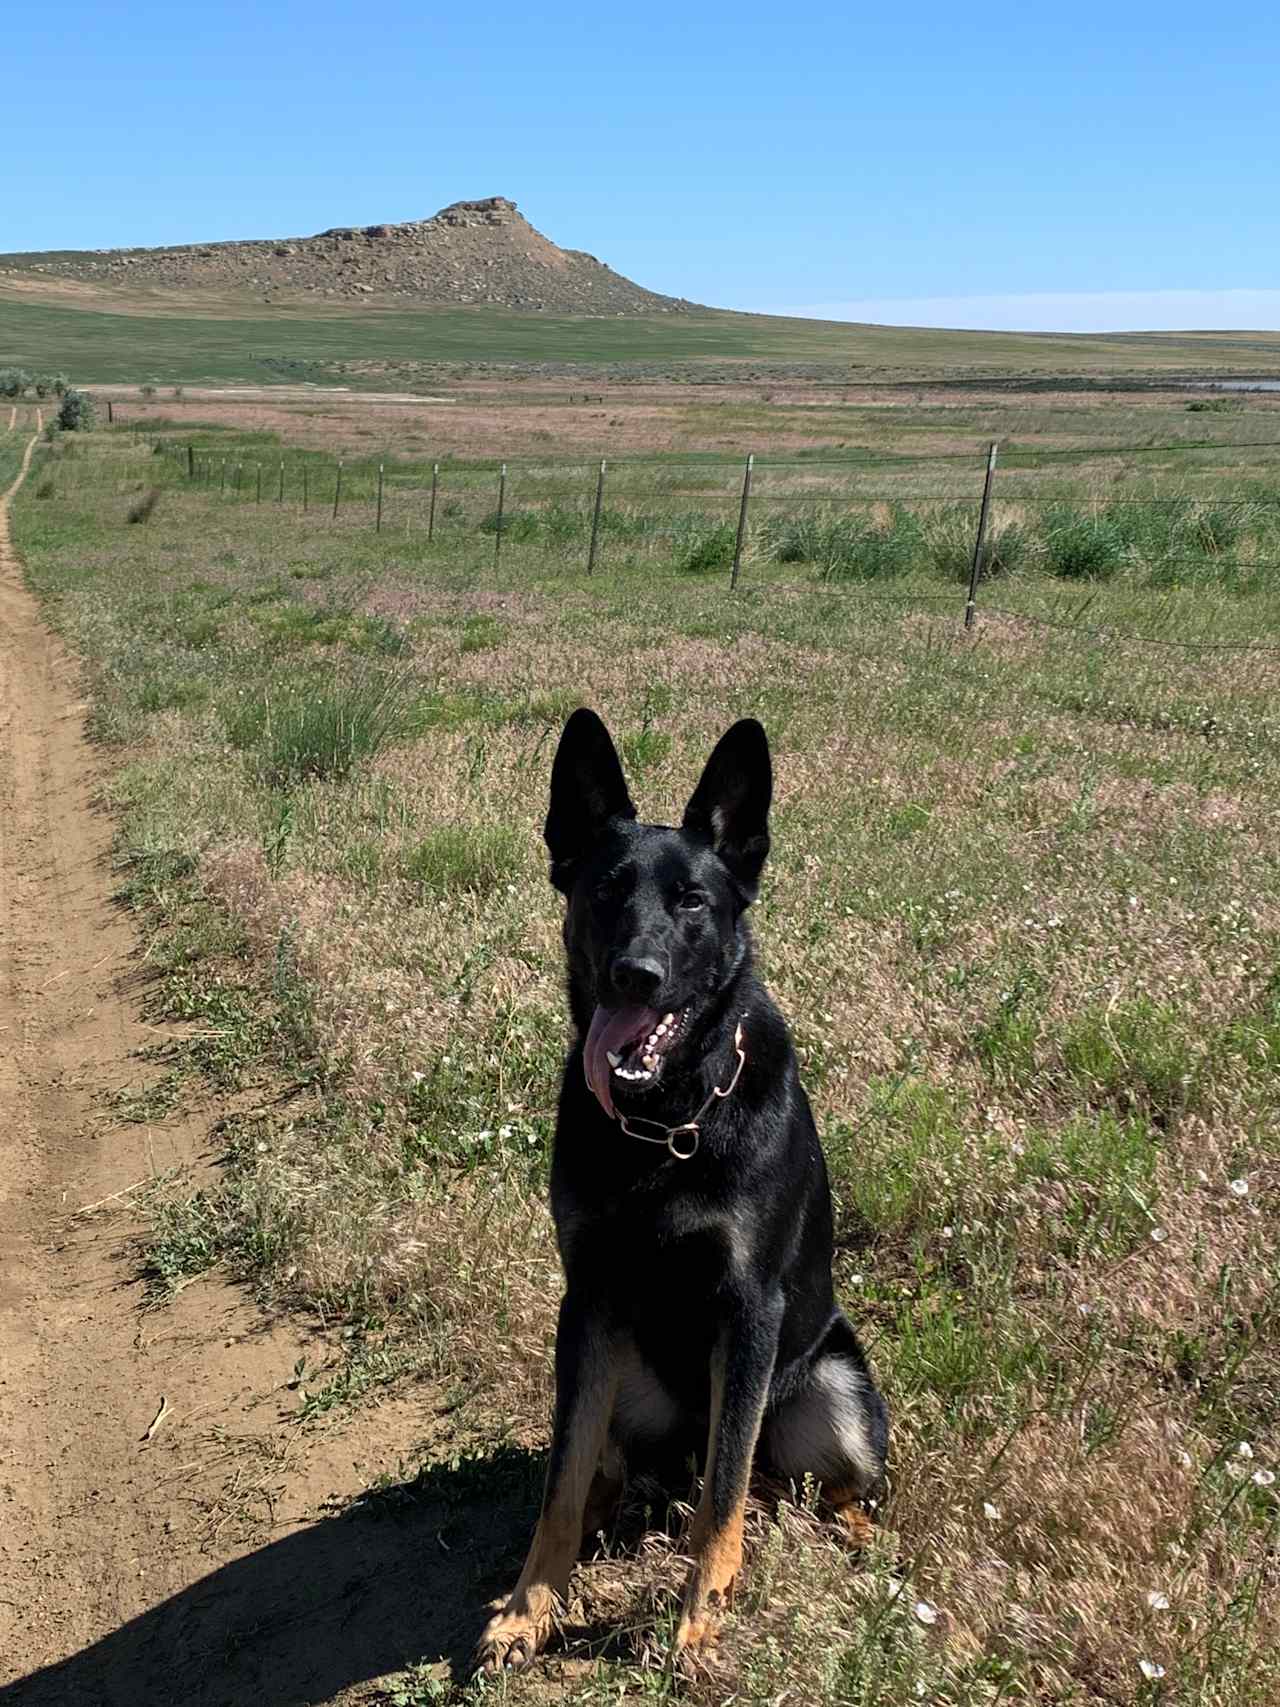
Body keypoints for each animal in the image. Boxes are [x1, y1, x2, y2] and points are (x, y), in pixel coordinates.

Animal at [474, 703, 894, 1666]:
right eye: (604, 892)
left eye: (693, 902)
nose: (636, 974)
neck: (666, 1121)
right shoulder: (588, 1298)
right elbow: (559, 1479)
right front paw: (529, 1605)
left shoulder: (748, 1311)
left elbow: (721, 1495)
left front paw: (700, 1612)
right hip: (618, 1370)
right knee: (606, 1465)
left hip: (835, 1388)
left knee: (800, 1483)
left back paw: (846, 1534)